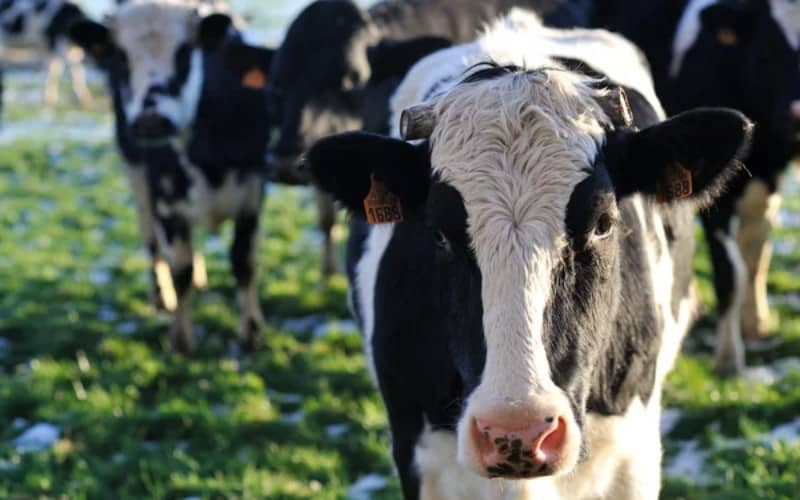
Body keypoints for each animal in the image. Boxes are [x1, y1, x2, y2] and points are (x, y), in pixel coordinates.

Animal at [68, 0, 273, 353]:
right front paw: (181, 338)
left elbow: (243, 262)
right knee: (151, 241)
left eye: (185, 53)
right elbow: (180, 271)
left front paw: (250, 332)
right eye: (120, 58)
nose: (152, 119)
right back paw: (161, 296)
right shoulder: (166, 203)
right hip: (137, 179)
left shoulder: (252, 194)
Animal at [592, 0, 800, 374]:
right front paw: (729, 358)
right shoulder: (718, 196)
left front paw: (756, 323)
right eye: (766, 48)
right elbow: (730, 270)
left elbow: (756, 252)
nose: (797, 115)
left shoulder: (768, 180)